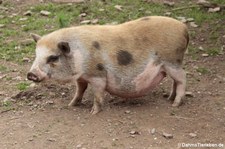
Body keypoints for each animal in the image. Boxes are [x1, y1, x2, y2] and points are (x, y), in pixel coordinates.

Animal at [28, 16, 190, 114]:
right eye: (36, 54)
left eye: (53, 57)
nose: (31, 74)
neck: (80, 53)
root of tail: (184, 29)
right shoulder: (81, 77)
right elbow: (80, 90)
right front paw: (71, 105)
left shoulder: (98, 74)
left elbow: (98, 93)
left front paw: (93, 112)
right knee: (175, 81)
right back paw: (168, 98)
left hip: (172, 61)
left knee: (182, 77)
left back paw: (175, 104)